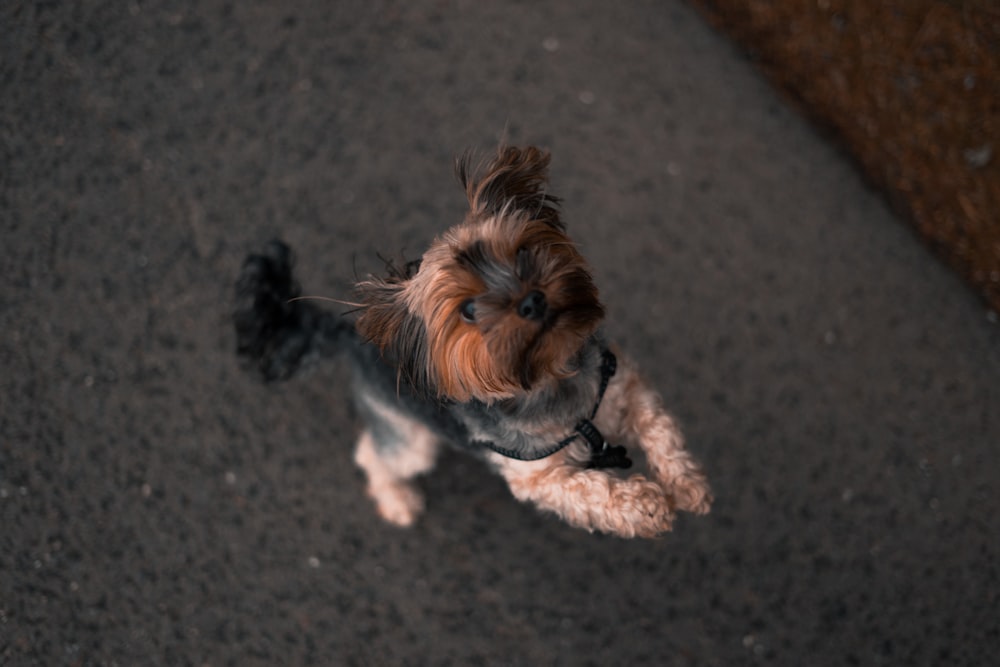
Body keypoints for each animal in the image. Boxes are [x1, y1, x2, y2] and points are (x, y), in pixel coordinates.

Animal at [234, 146, 712, 536]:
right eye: (467, 309)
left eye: (523, 252)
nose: (533, 301)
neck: (551, 377)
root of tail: (351, 332)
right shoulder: (538, 476)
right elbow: (592, 490)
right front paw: (646, 504)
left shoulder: (622, 385)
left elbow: (660, 428)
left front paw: (687, 486)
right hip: (409, 433)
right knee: (376, 454)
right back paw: (398, 501)